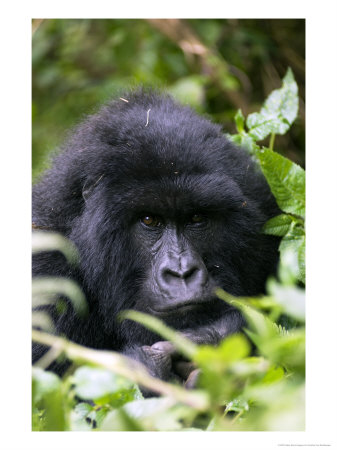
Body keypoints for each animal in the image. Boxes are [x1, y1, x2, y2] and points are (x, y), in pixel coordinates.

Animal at [32, 90, 278, 384]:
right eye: (149, 220)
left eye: (197, 218)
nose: (181, 273)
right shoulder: (45, 271)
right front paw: (147, 366)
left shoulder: (265, 213)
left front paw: (212, 339)